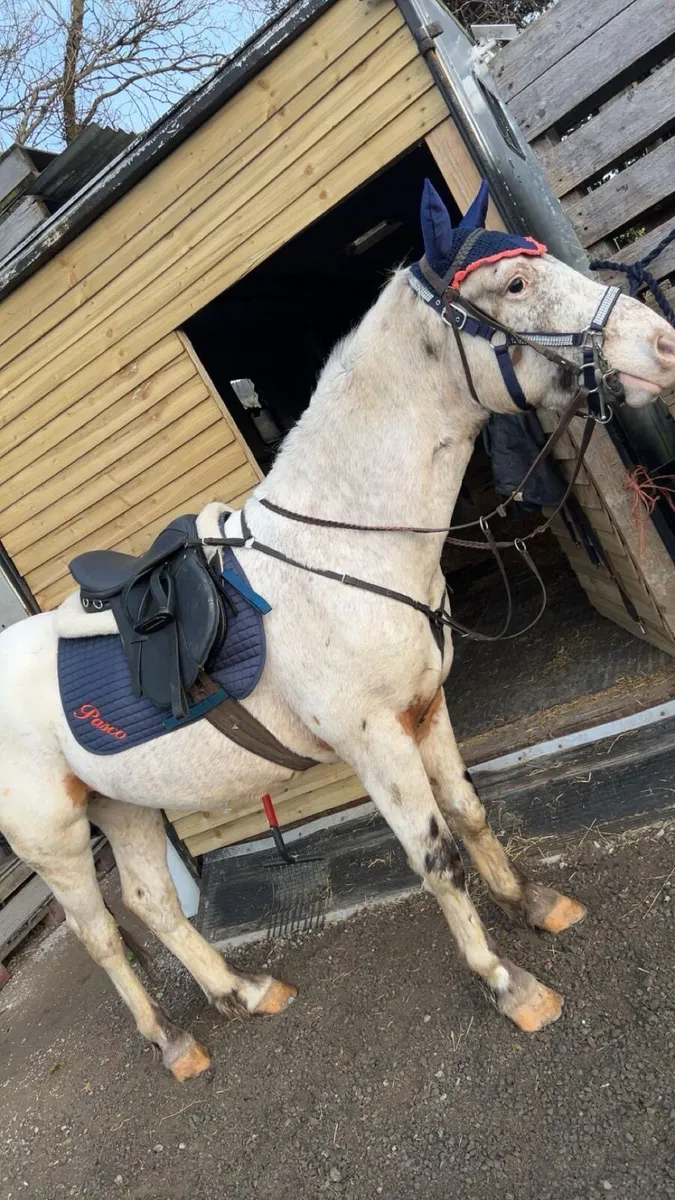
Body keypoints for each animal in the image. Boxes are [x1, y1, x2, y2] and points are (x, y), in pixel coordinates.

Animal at [1, 181, 673, 1081]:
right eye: (515, 285)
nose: (660, 344)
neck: (348, 548)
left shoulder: (426, 710)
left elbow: (469, 812)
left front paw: (530, 902)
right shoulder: (374, 740)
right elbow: (434, 856)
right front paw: (506, 983)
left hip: (126, 806)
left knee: (151, 902)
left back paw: (242, 993)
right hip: (60, 841)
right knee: (102, 933)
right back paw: (172, 1041)